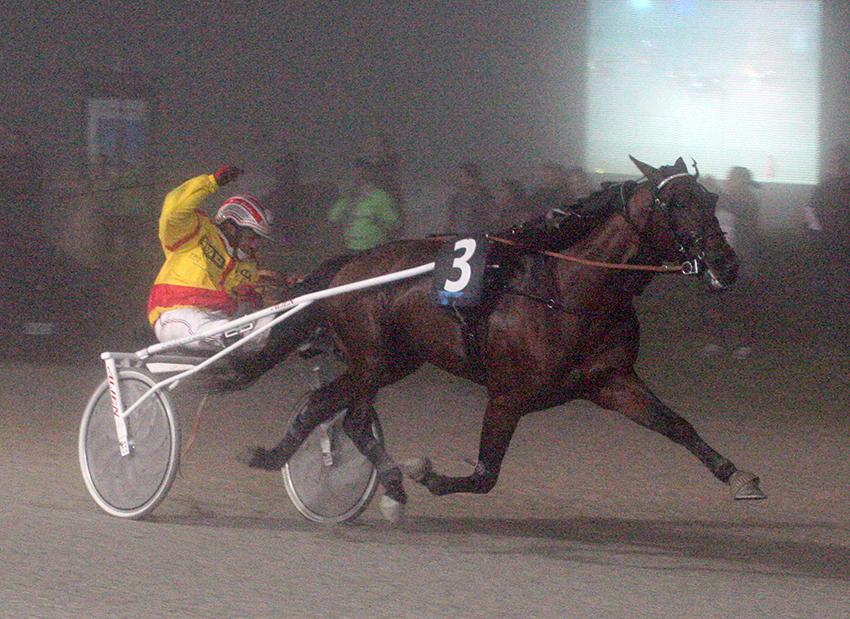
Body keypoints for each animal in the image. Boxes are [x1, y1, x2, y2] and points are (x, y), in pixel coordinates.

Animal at [237, 156, 760, 524]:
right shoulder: (507, 395)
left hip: (394, 361)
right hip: (371, 358)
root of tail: (350, 263)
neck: (567, 291)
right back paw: (393, 486)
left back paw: (271, 455)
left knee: (320, 403)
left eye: (710, 197)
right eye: (674, 205)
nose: (727, 263)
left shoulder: (611, 380)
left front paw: (739, 476)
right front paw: (425, 475)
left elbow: (676, 425)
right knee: (357, 422)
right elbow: (485, 475)